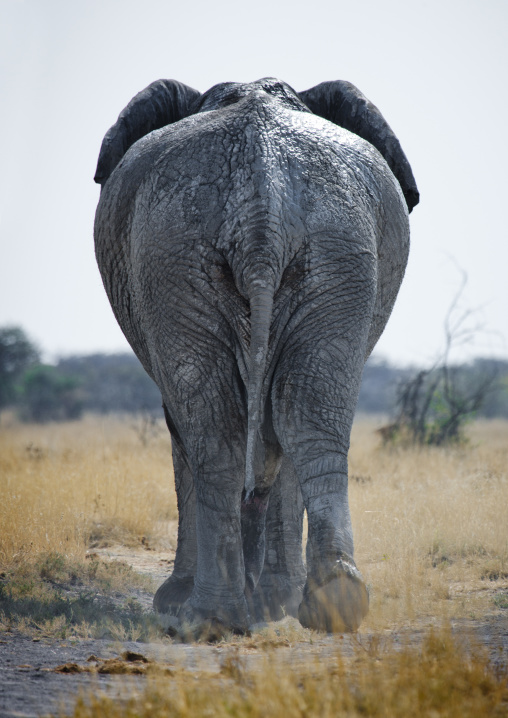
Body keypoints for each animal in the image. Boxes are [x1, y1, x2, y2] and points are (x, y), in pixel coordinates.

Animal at [94, 77, 418, 638]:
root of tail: (261, 201)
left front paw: (185, 601)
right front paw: (273, 602)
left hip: (175, 253)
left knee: (217, 429)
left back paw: (209, 615)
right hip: (333, 255)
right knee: (308, 415)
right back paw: (332, 603)